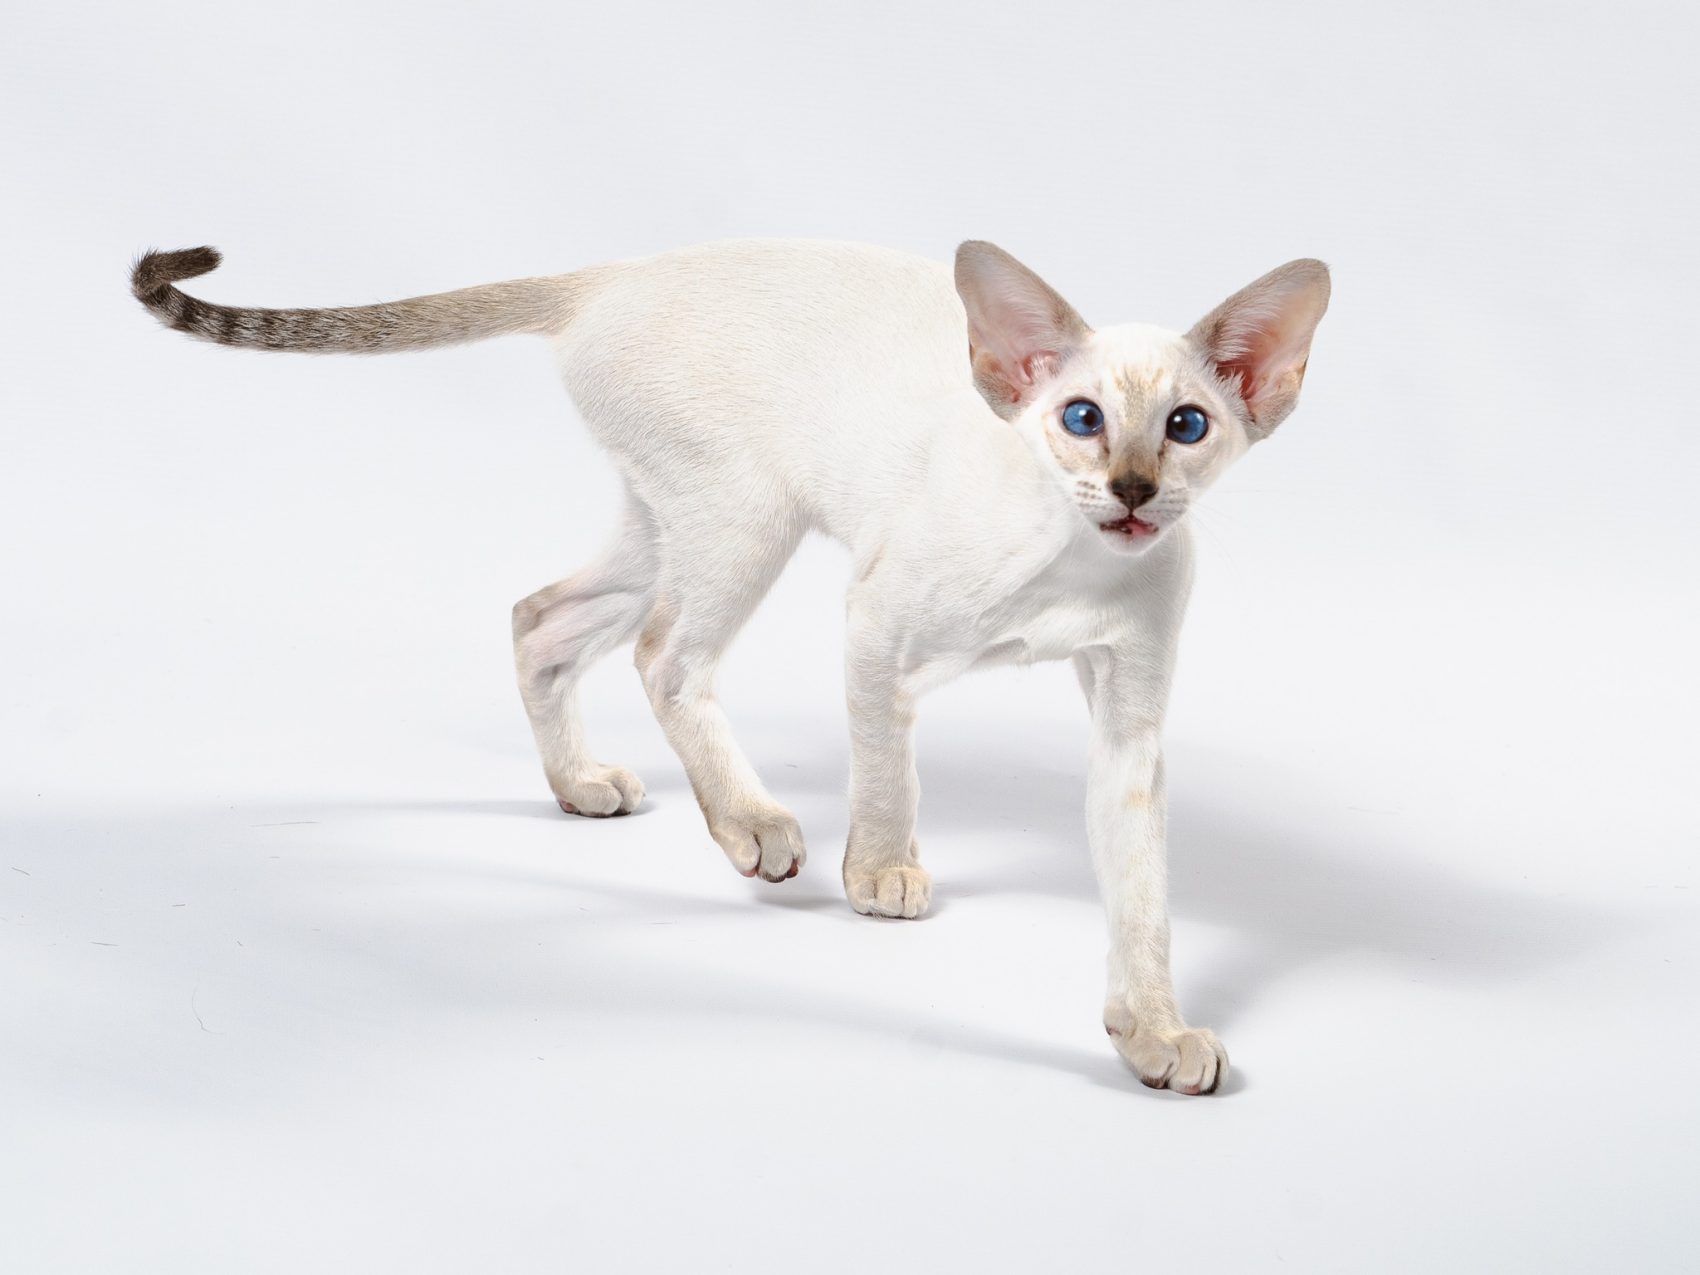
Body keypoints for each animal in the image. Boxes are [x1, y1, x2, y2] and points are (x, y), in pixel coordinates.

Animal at [131, 238, 1329, 1094]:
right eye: (1080, 418)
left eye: (1185, 427)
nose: (1130, 491)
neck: (1074, 555)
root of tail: (612, 273)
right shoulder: (875, 624)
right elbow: (885, 772)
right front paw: (879, 874)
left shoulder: (1129, 728)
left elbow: (1142, 901)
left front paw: (1151, 1032)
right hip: (743, 518)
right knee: (661, 654)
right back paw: (752, 826)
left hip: (672, 523)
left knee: (540, 617)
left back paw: (579, 785)